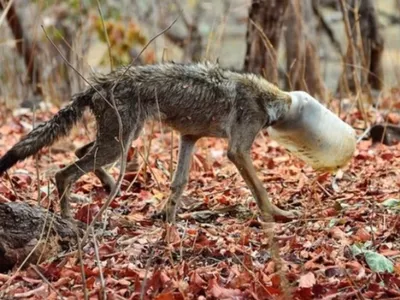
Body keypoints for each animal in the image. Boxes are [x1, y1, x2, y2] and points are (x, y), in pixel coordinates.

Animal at [0, 61, 310, 220]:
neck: (266, 99)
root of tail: (98, 85)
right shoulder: (238, 151)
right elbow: (260, 189)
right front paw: (278, 214)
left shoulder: (189, 137)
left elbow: (179, 184)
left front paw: (170, 219)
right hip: (117, 144)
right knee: (63, 174)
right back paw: (68, 220)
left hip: (121, 140)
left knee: (79, 152)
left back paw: (110, 185)